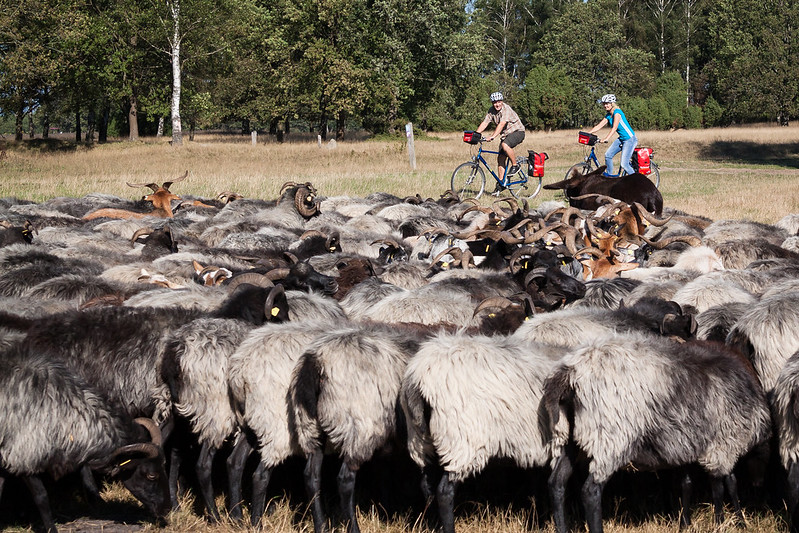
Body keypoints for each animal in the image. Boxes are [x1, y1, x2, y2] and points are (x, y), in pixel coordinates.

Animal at [404, 330, 564, 532]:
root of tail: (420, 378)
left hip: (420, 439)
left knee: (427, 485)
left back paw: (433, 525)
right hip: (460, 440)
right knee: (444, 491)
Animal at [548, 332, 772, 532]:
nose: (759, 484)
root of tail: (570, 374)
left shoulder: (689, 446)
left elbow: (689, 483)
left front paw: (686, 524)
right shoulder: (723, 444)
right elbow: (724, 485)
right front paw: (727, 522)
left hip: (567, 436)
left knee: (557, 483)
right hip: (610, 438)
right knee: (590, 491)